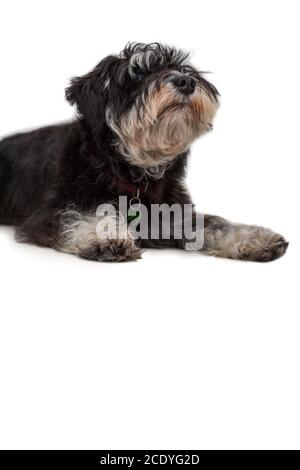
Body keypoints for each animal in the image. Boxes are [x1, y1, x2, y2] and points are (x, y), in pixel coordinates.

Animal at [0, 43, 288, 260]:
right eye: (137, 75)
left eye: (181, 68)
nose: (185, 81)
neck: (134, 171)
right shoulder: (48, 212)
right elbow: (74, 215)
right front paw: (106, 237)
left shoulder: (177, 213)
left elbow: (215, 223)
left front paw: (256, 237)